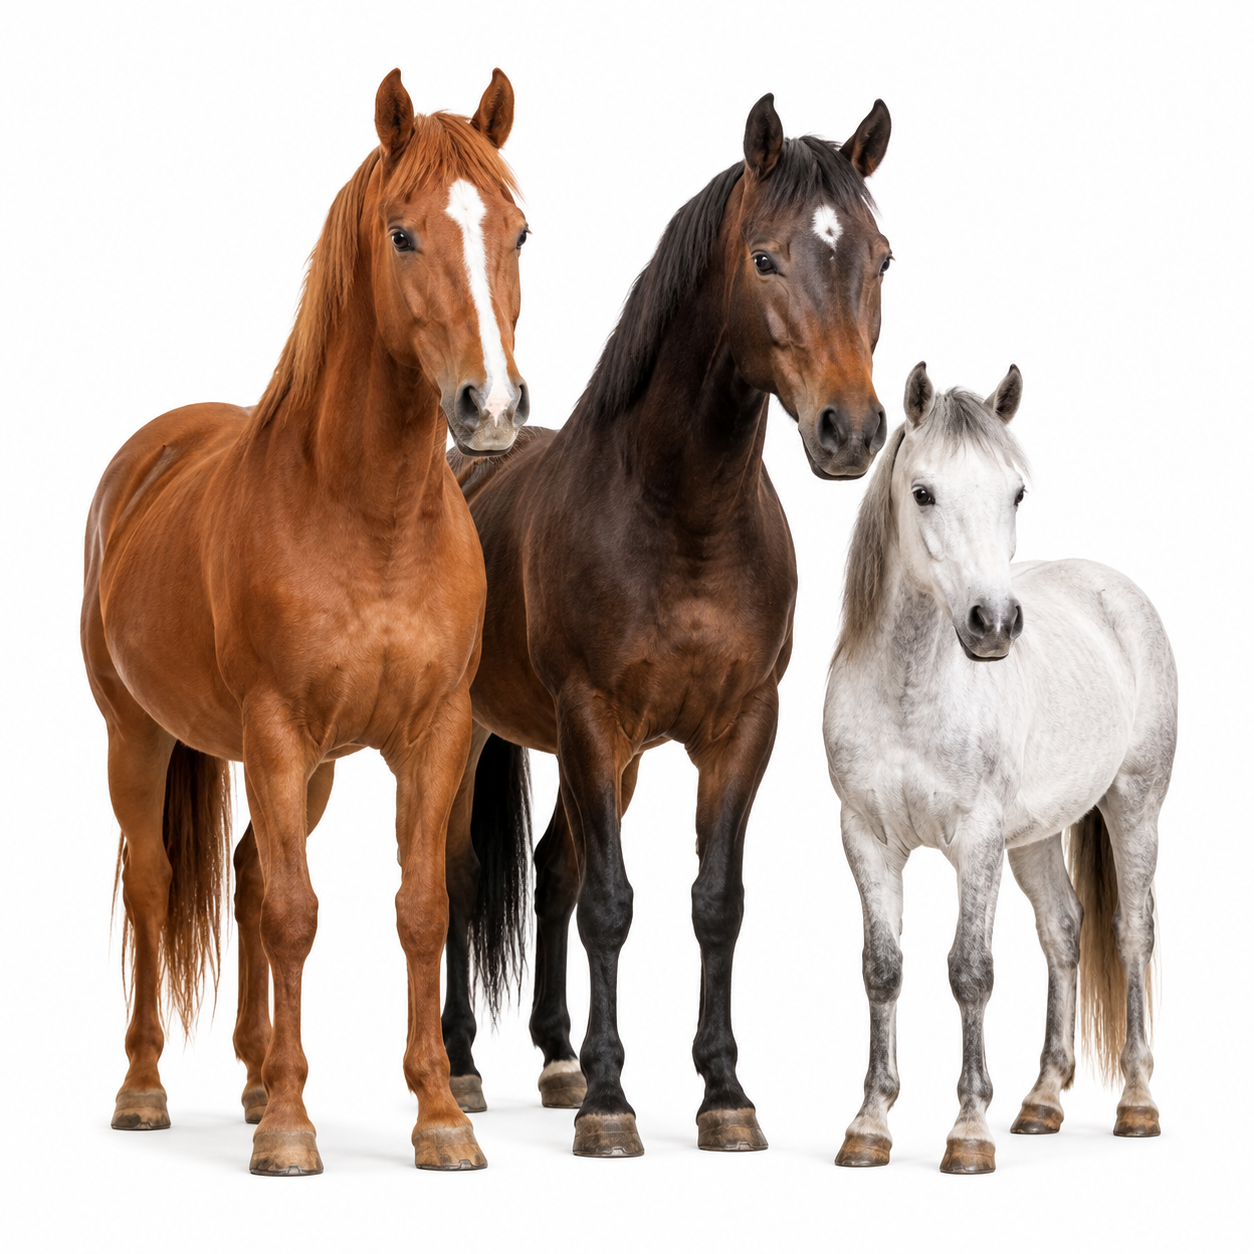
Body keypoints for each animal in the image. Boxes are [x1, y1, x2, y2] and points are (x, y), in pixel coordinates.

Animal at [80, 68, 529, 1176]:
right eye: (403, 233)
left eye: (519, 230)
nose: (491, 407)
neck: (365, 516)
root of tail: (147, 456)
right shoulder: (278, 731)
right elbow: (294, 913)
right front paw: (291, 1128)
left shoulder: (429, 734)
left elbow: (420, 909)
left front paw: (440, 1119)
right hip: (137, 735)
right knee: (156, 886)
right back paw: (145, 1089)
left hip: (311, 766)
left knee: (242, 874)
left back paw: (248, 1079)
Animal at [439, 91, 894, 1158]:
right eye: (765, 258)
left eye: (882, 256)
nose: (850, 431)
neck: (681, 518)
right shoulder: (590, 717)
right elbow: (611, 904)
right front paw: (612, 1105)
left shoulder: (739, 730)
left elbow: (714, 903)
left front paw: (723, 1094)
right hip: (480, 730)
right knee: (463, 877)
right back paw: (465, 1065)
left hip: (617, 757)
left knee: (552, 867)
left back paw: (557, 1057)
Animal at [822, 363, 1176, 1173]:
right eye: (923, 492)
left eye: (1015, 492)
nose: (995, 625)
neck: (910, 690)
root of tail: (1114, 589)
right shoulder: (865, 839)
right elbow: (881, 968)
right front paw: (869, 1125)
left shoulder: (975, 840)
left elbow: (970, 972)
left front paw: (969, 1132)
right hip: (1037, 838)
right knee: (1064, 930)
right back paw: (1042, 1101)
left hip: (1135, 805)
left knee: (1131, 932)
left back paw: (1138, 1102)